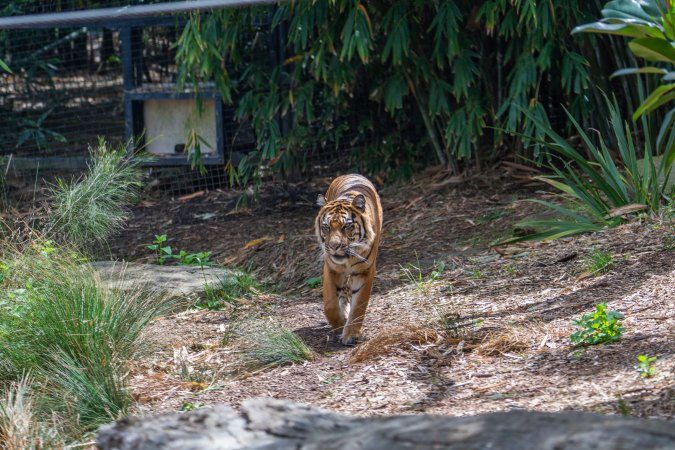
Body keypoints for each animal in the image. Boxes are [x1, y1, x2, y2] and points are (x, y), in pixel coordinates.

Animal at [315, 174, 383, 345]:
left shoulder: (365, 271)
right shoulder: (331, 268)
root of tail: (351, 174)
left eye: (347, 227)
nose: (334, 246)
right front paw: (340, 325)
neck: (348, 258)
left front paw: (351, 334)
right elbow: (330, 305)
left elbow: (359, 305)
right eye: (326, 227)